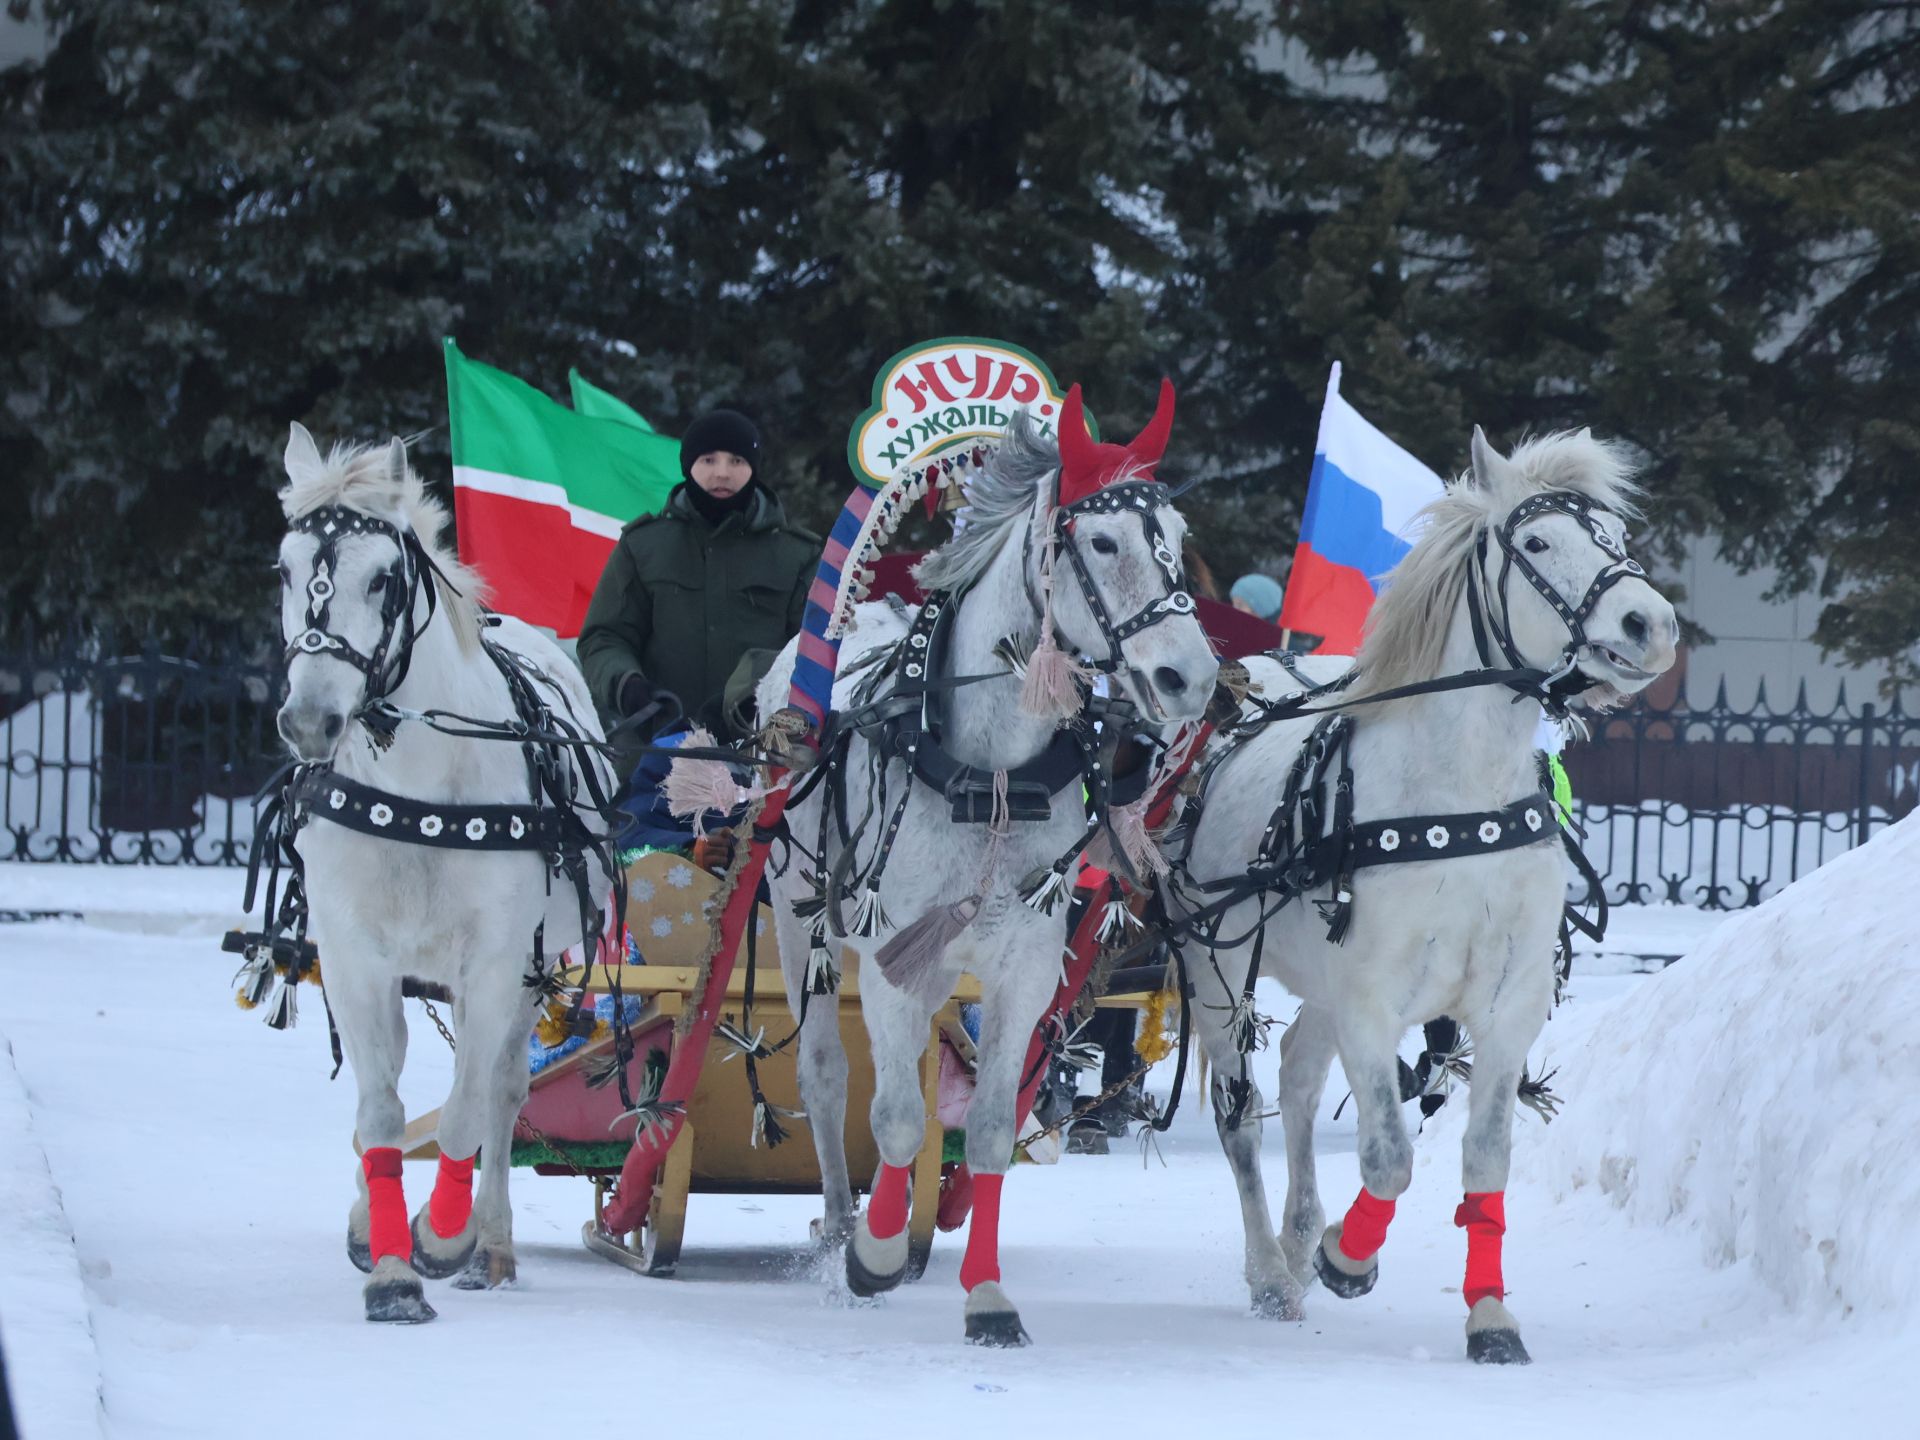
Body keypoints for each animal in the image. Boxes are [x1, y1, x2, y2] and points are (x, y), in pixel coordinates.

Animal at [270, 428, 610, 1328]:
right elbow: (380, 1105)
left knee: (498, 1089)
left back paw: (487, 1243)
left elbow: (463, 1110)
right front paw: (388, 1264)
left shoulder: (494, 963)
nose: (310, 721)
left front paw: (441, 1236)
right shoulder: (353, 957)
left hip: (527, 970)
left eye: (381, 578)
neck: (417, 788)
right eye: (285, 569)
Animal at [752, 380, 1213, 1344]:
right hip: (801, 921)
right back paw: (845, 1223)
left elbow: (993, 1127)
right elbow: (893, 1118)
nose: (1190, 678)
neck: (990, 773)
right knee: (826, 1076)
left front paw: (987, 1297)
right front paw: (875, 1256)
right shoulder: (892, 964)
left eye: (1176, 535)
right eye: (1103, 542)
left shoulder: (1023, 967)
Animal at [1159, 428, 1674, 1367]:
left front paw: (1490, 1315)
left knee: (1296, 1080)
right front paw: (1347, 1256)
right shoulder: (1371, 1001)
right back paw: (1272, 1271)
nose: (1649, 624)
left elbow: (1484, 1156)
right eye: (1537, 541)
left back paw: (1297, 1234)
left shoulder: (1508, 1003)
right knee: (1241, 1116)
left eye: (1616, 536)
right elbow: (1389, 1158)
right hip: (1215, 973)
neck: (1458, 797)